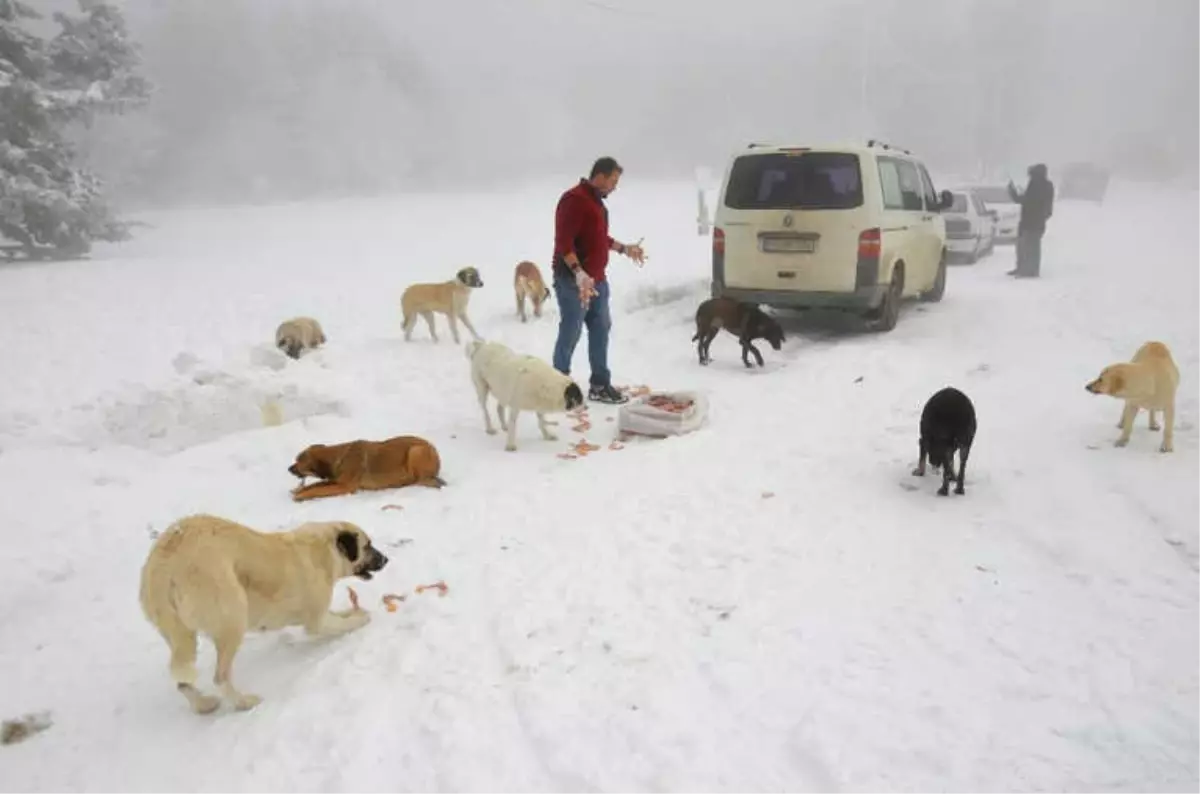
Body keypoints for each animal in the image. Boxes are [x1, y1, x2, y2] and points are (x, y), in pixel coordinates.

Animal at [139, 515, 388, 714]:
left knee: (182, 682)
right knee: (220, 677)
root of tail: (164, 564)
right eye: (368, 545)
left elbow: (340, 614)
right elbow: (342, 624)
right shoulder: (316, 621)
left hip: (180, 636)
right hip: (233, 620)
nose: (386, 559)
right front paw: (361, 618)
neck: (323, 550)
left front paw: (355, 610)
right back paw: (244, 703)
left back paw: (203, 705)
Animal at [289, 436, 446, 503]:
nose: (288, 468)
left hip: (416, 451)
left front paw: (301, 495)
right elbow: (315, 485)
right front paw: (300, 490)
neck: (339, 456)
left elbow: (318, 489)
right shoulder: (335, 480)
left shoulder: (345, 486)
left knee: (421, 481)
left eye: (298, 460)